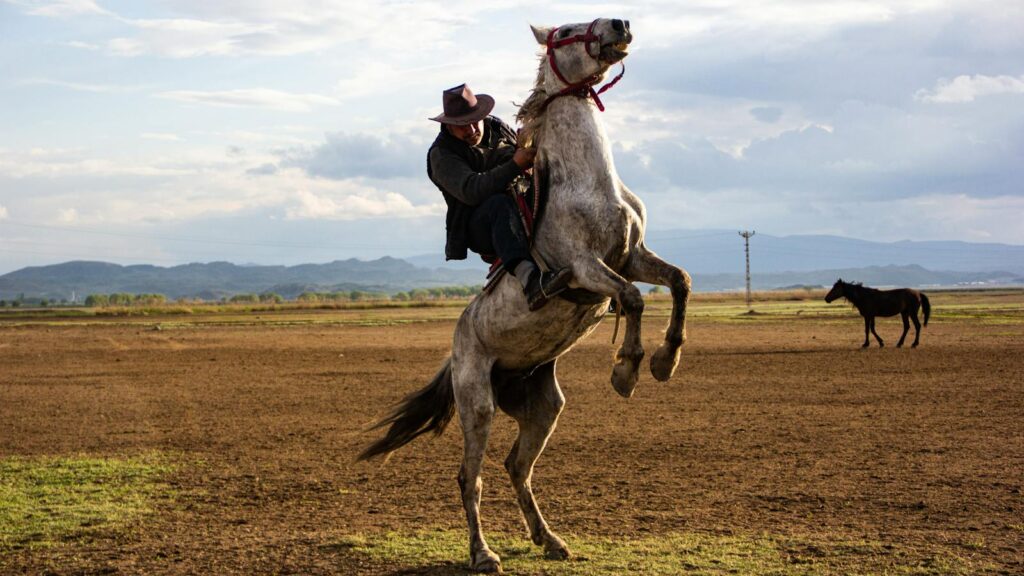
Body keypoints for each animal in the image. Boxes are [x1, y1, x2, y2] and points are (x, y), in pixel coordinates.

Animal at [359, 18, 691, 573]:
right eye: (568, 29)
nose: (620, 24)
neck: (590, 183)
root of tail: (456, 350)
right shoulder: (585, 268)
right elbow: (634, 300)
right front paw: (626, 370)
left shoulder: (634, 256)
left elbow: (680, 282)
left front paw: (665, 362)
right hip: (479, 406)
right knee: (470, 478)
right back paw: (483, 553)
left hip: (543, 407)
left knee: (517, 466)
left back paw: (550, 539)